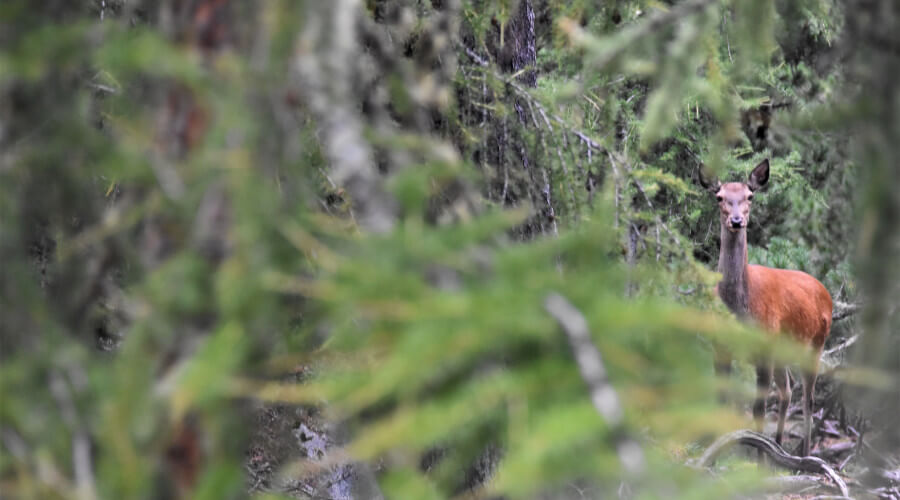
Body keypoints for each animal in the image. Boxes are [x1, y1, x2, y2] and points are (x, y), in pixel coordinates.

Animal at [700, 159, 832, 457]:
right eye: (719, 197)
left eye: (750, 196)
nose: (737, 221)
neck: (740, 309)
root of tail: (825, 290)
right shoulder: (720, 347)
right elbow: (720, 402)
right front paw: (717, 451)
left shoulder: (763, 349)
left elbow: (758, 409)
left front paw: (754, 457)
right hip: (783, 350)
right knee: (788, 390)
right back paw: (778, 446)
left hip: (815, 344)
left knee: (808, 398)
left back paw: (803, 454)